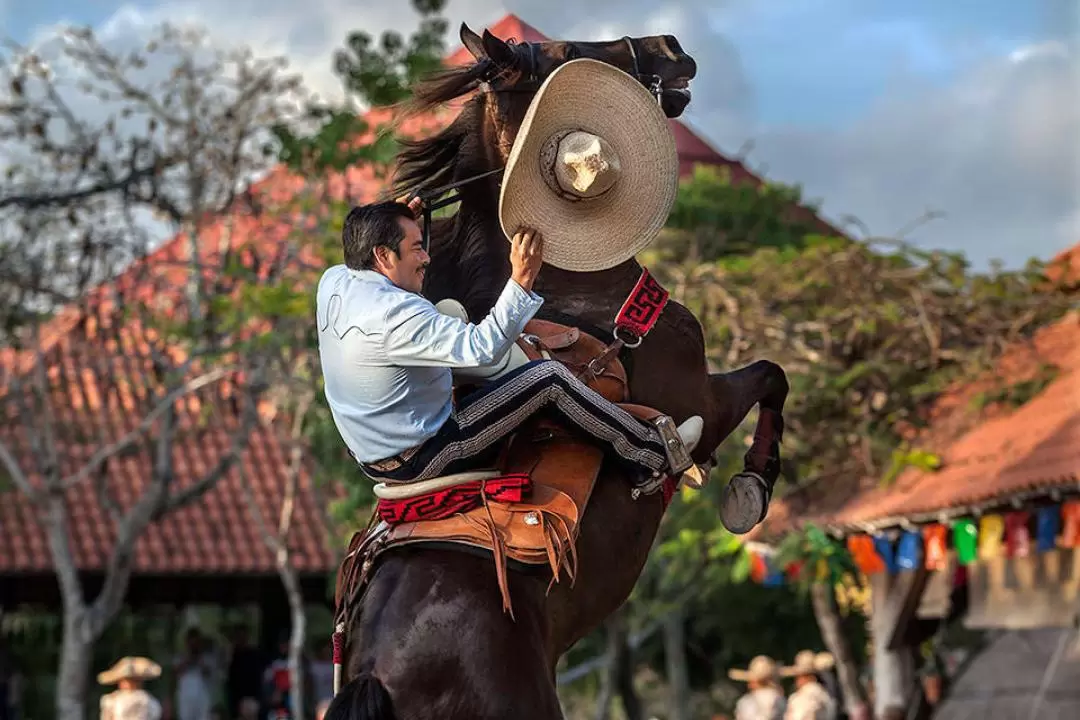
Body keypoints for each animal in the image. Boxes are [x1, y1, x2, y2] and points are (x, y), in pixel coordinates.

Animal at [324, 23, 790, 720]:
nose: (671, 46)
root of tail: (376, 674)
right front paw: (750, 488)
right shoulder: (702, 401)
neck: (578, 298)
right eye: (569, 52)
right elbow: (770, 376)